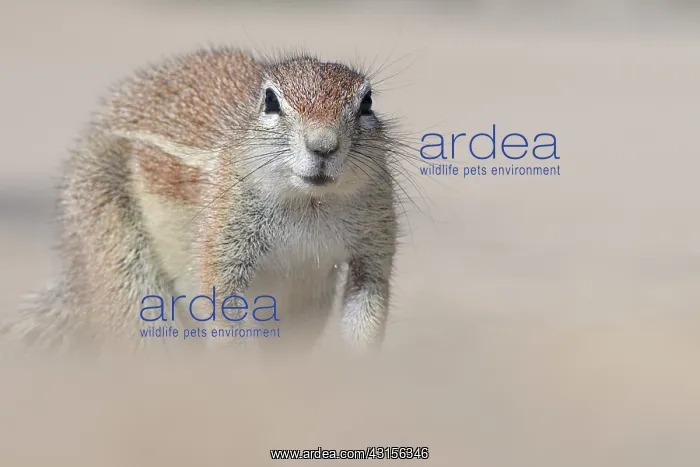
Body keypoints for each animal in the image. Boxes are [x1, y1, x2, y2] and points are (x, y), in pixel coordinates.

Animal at [0, 47, 400, 354]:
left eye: (367, 102)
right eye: (271, 101)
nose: (323, 145)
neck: (310, 202)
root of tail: (77, 278)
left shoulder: (374, 237)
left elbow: (368, 301)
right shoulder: (223, 231)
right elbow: (222, 305)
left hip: (306, 306)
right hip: (114, 247)